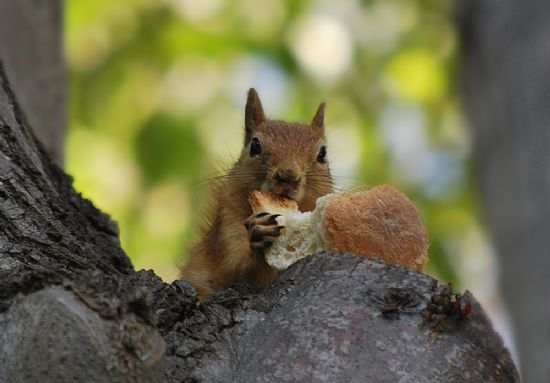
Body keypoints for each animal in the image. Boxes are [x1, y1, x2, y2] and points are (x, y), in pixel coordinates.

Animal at [183, 88, 334, 298]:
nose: (288, 176)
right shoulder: (226, 223)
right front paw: (260, 231)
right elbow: (235, 267)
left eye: (323, 154)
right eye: (255, 145)